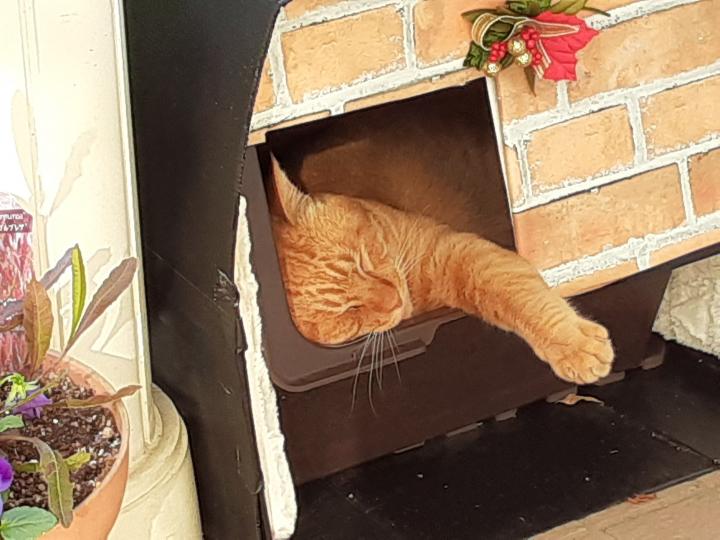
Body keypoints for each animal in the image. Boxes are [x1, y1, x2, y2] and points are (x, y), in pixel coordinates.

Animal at [266, 83, 614, 384]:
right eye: (350, 314)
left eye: (364, 261)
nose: (394, 300)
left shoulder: (456, 253)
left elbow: (521, 299)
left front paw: (572, 343)